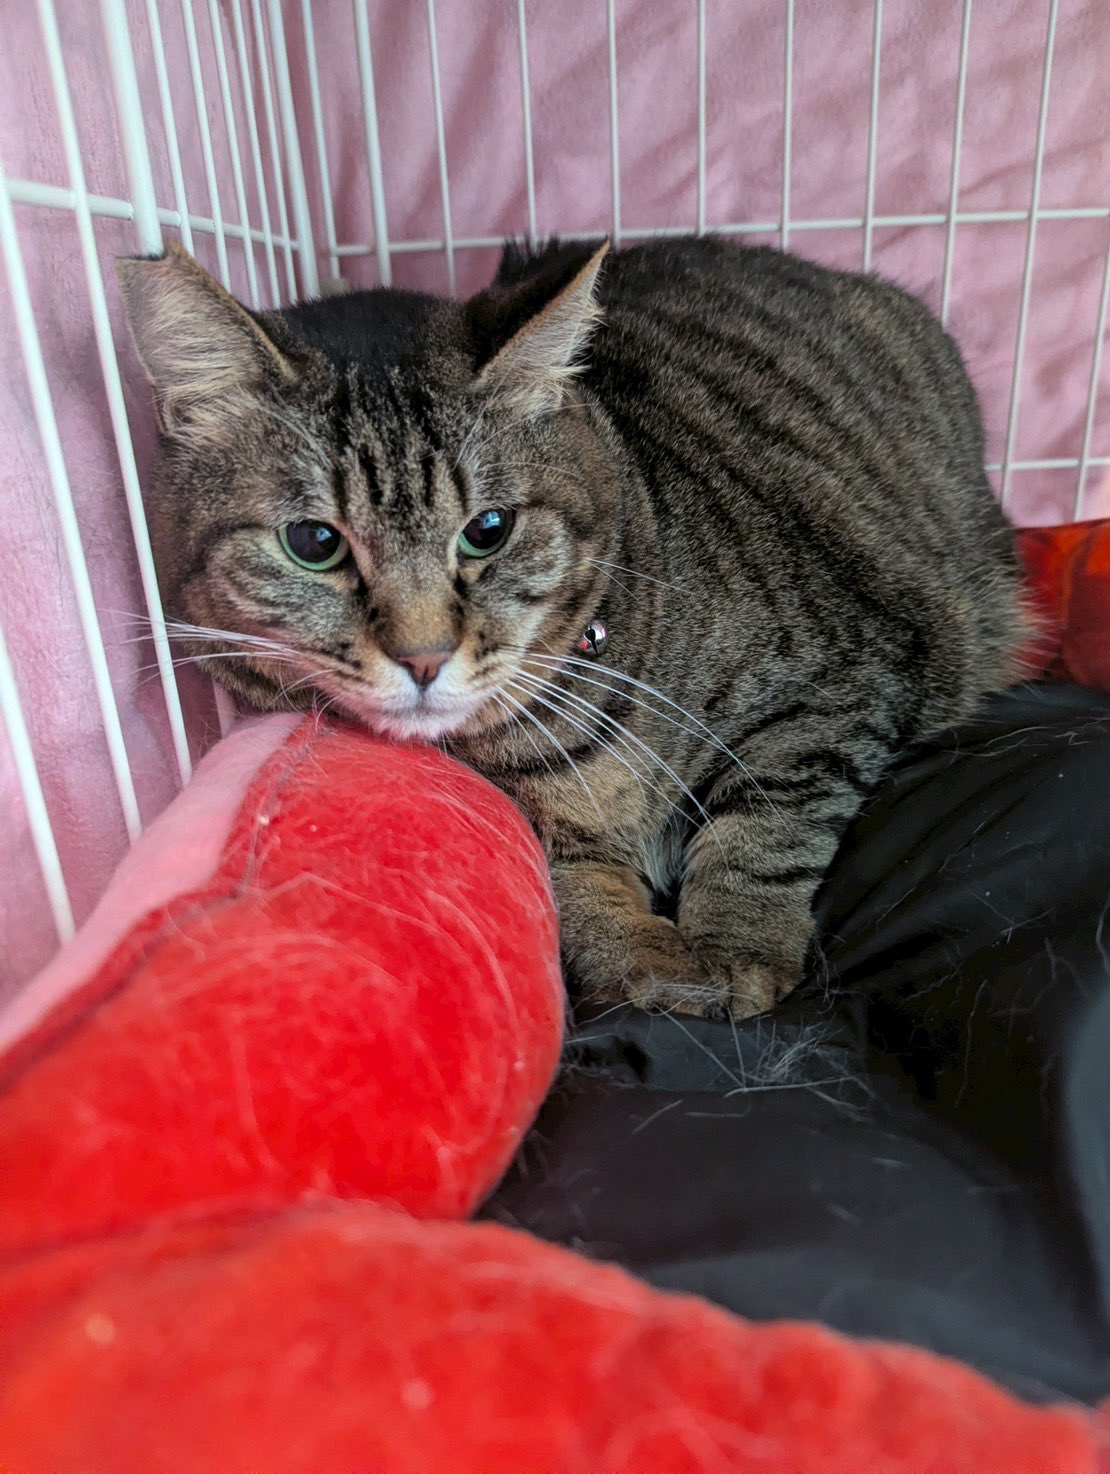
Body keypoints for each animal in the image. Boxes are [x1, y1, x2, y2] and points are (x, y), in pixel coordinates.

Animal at [118, 235, 1026, 1021]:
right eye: (314, 543)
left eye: (488, 530)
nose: (423, 656)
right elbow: (575, 884)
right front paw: (645, 959)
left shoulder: (844, 678)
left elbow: (764, 826)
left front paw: (735, 947)